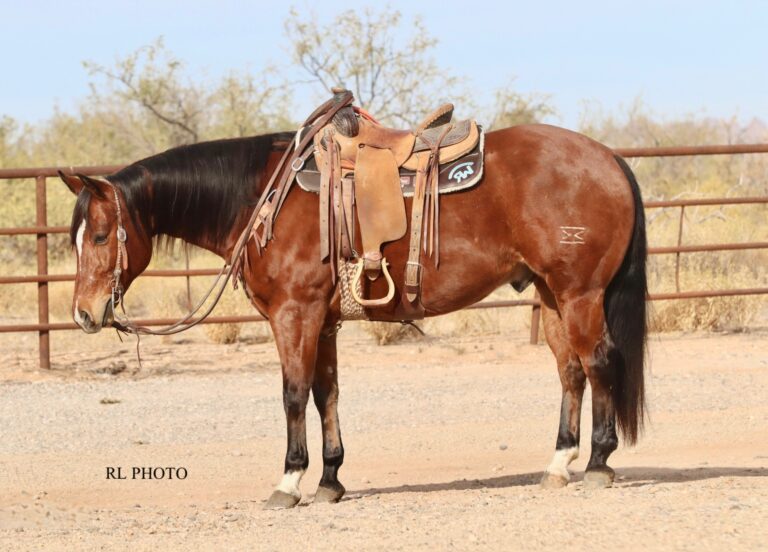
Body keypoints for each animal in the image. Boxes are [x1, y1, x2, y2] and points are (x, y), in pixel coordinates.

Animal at [60, 116, 647, 509]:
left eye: (100, 234)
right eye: (76, 236)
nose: (85, 313)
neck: (261, 198)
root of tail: (609, 158)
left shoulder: (294, 314)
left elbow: (294, 394)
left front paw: (289, 481)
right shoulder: (322, 322)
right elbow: (327, 394)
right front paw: (330, 481)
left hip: (580, 293)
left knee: (598, 363)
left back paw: (599, 463)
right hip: (551, 295)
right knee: (570, 372)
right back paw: (558, 465)